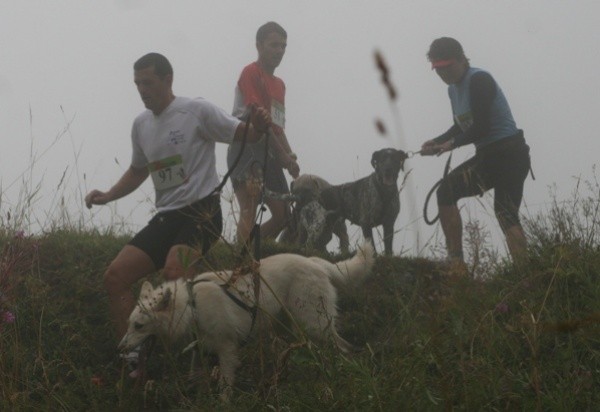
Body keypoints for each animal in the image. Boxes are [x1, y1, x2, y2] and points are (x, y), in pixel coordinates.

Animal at [118, 241, 372, 400]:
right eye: (129, 324)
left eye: (139, 326)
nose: (120, 349)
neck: (192, 305)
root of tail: (314, 261)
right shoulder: (201, 352)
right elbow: (195, 380)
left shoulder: (227, 351)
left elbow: (225, 388)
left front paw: (222, 404)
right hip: (293, 327)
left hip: (314, 324)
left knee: (344, 348)